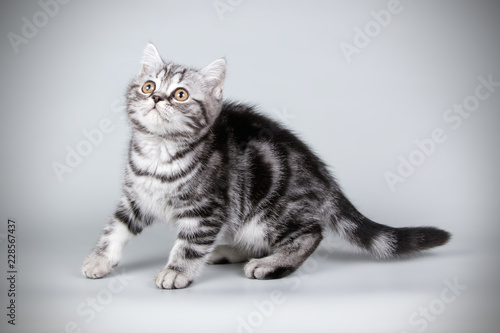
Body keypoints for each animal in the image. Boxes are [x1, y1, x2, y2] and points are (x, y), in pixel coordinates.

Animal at [81, 44, 450, 288]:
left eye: (181, 94)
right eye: (148, 86)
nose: (157, 98)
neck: (159, 151)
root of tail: (324, 177)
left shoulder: (207, 211)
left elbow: (190, 244)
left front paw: (176, 271)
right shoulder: (135, 198)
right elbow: (115, 228)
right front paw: (100, 259)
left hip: (268, 213)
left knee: (310, 233)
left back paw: (269, 265)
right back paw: (229, 250)